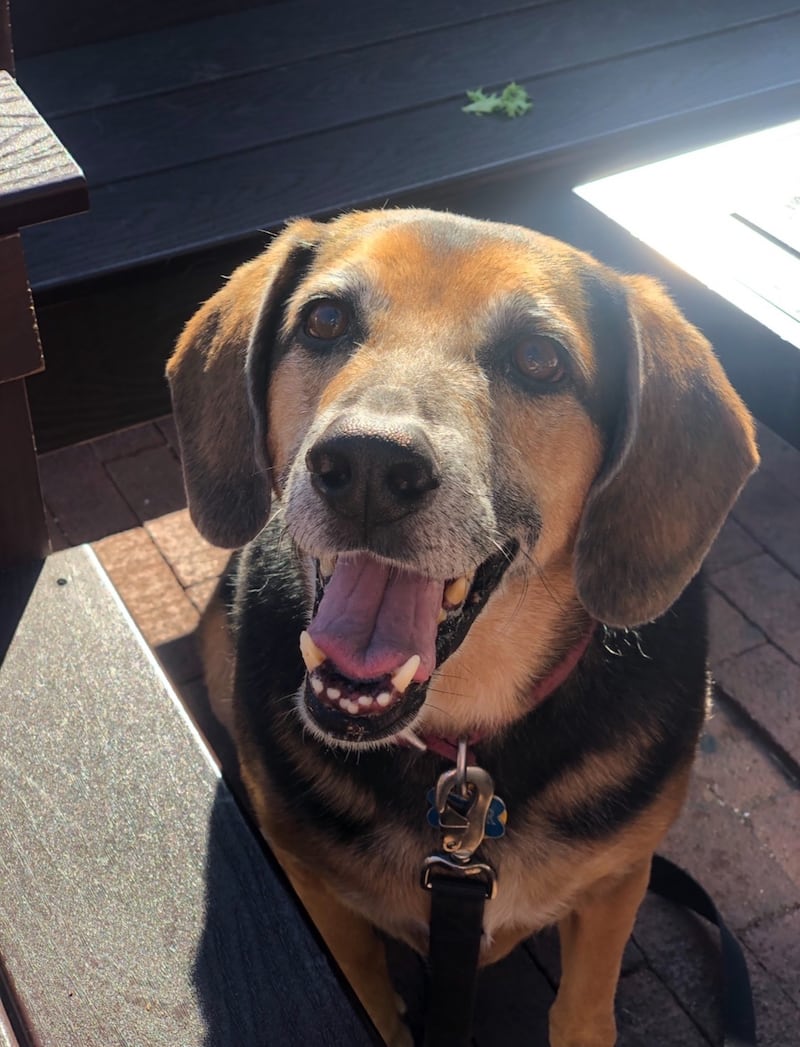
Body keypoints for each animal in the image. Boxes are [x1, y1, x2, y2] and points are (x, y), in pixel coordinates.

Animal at [167, 210, 758, 1047]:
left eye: (540, 359)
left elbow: (583, 1012)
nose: (368, 465)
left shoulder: (617, 881)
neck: (462, 737)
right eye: (324, 319)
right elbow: (369, 999)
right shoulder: (316, 889)